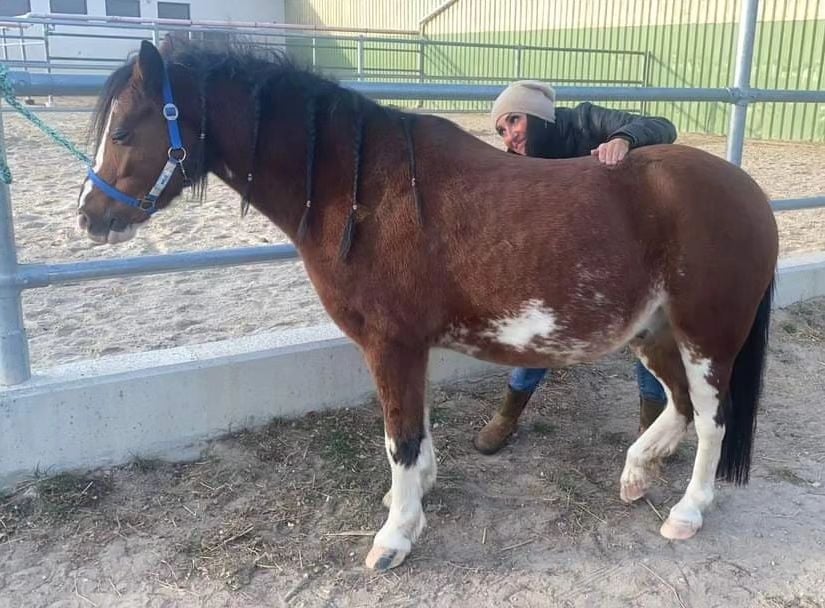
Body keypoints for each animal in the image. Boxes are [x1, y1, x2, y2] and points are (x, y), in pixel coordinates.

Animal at [76, 39, 779, 572]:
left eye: (125, 130)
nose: (89, 216)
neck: (364, 190)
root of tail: (750, 192)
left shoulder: (390, 343)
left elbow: (401, 437)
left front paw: (395, 536)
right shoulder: (410, 345)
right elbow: (414, 426)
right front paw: (415, 497)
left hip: (707, 335)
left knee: (713, 418)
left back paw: (687, 512)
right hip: (654, 331)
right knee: (680, 404)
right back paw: (636, 472)